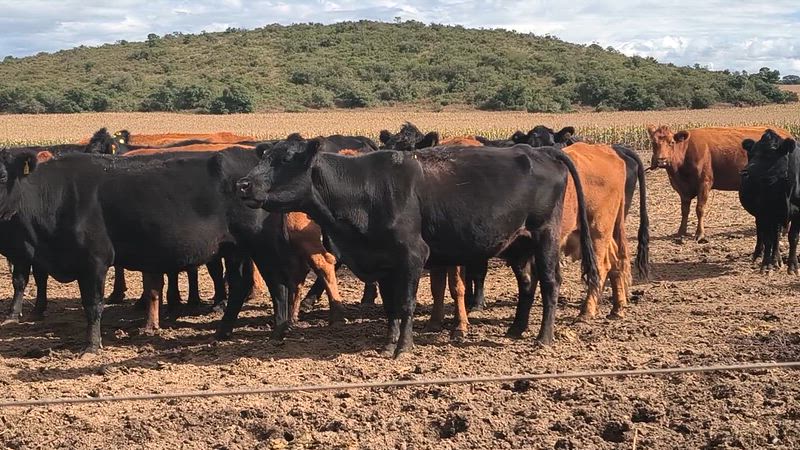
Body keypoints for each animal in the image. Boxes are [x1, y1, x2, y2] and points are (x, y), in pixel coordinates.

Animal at [0, 148, 296, 353]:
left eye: (2, 175)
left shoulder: (94, 259)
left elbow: (93, 304)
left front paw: (92, 346)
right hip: (235, 248)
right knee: (239, 284)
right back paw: (223, 331)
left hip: (261, 245)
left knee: (276, 283)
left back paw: (278, 329)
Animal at [237, 140, 600, 357]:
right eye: (264, 156)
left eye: (285, 159)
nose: (242, 184)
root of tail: (541, 150)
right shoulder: (383, 262)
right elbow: (390, 307)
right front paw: (387, 344)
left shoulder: (412, 256)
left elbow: (407, 304)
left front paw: (404, 347)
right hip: (518, 244)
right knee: (526, 284)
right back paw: (516, 329)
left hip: (545, 235)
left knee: (550, 283)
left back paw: (543, 337)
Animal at [647, 125, 792, 243]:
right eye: (653, 143)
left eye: (671, 142)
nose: (661, 160)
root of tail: (787, 134)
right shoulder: (683, 189)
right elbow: (684, 210)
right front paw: (681, 232)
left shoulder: (704, 183)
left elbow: (700, 209)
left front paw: (700, 234)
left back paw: (784, 231)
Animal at [739, 130, 800, 273]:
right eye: (751, 154)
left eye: (770, 153)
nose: (744, 172)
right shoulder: (765, 212)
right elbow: (767, 239)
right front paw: (766, 265)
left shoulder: (798, 212)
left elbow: (793, 237)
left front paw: (793, 265)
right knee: (764, 233)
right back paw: (760, 255)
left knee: (776, 236)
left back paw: (777, 259)